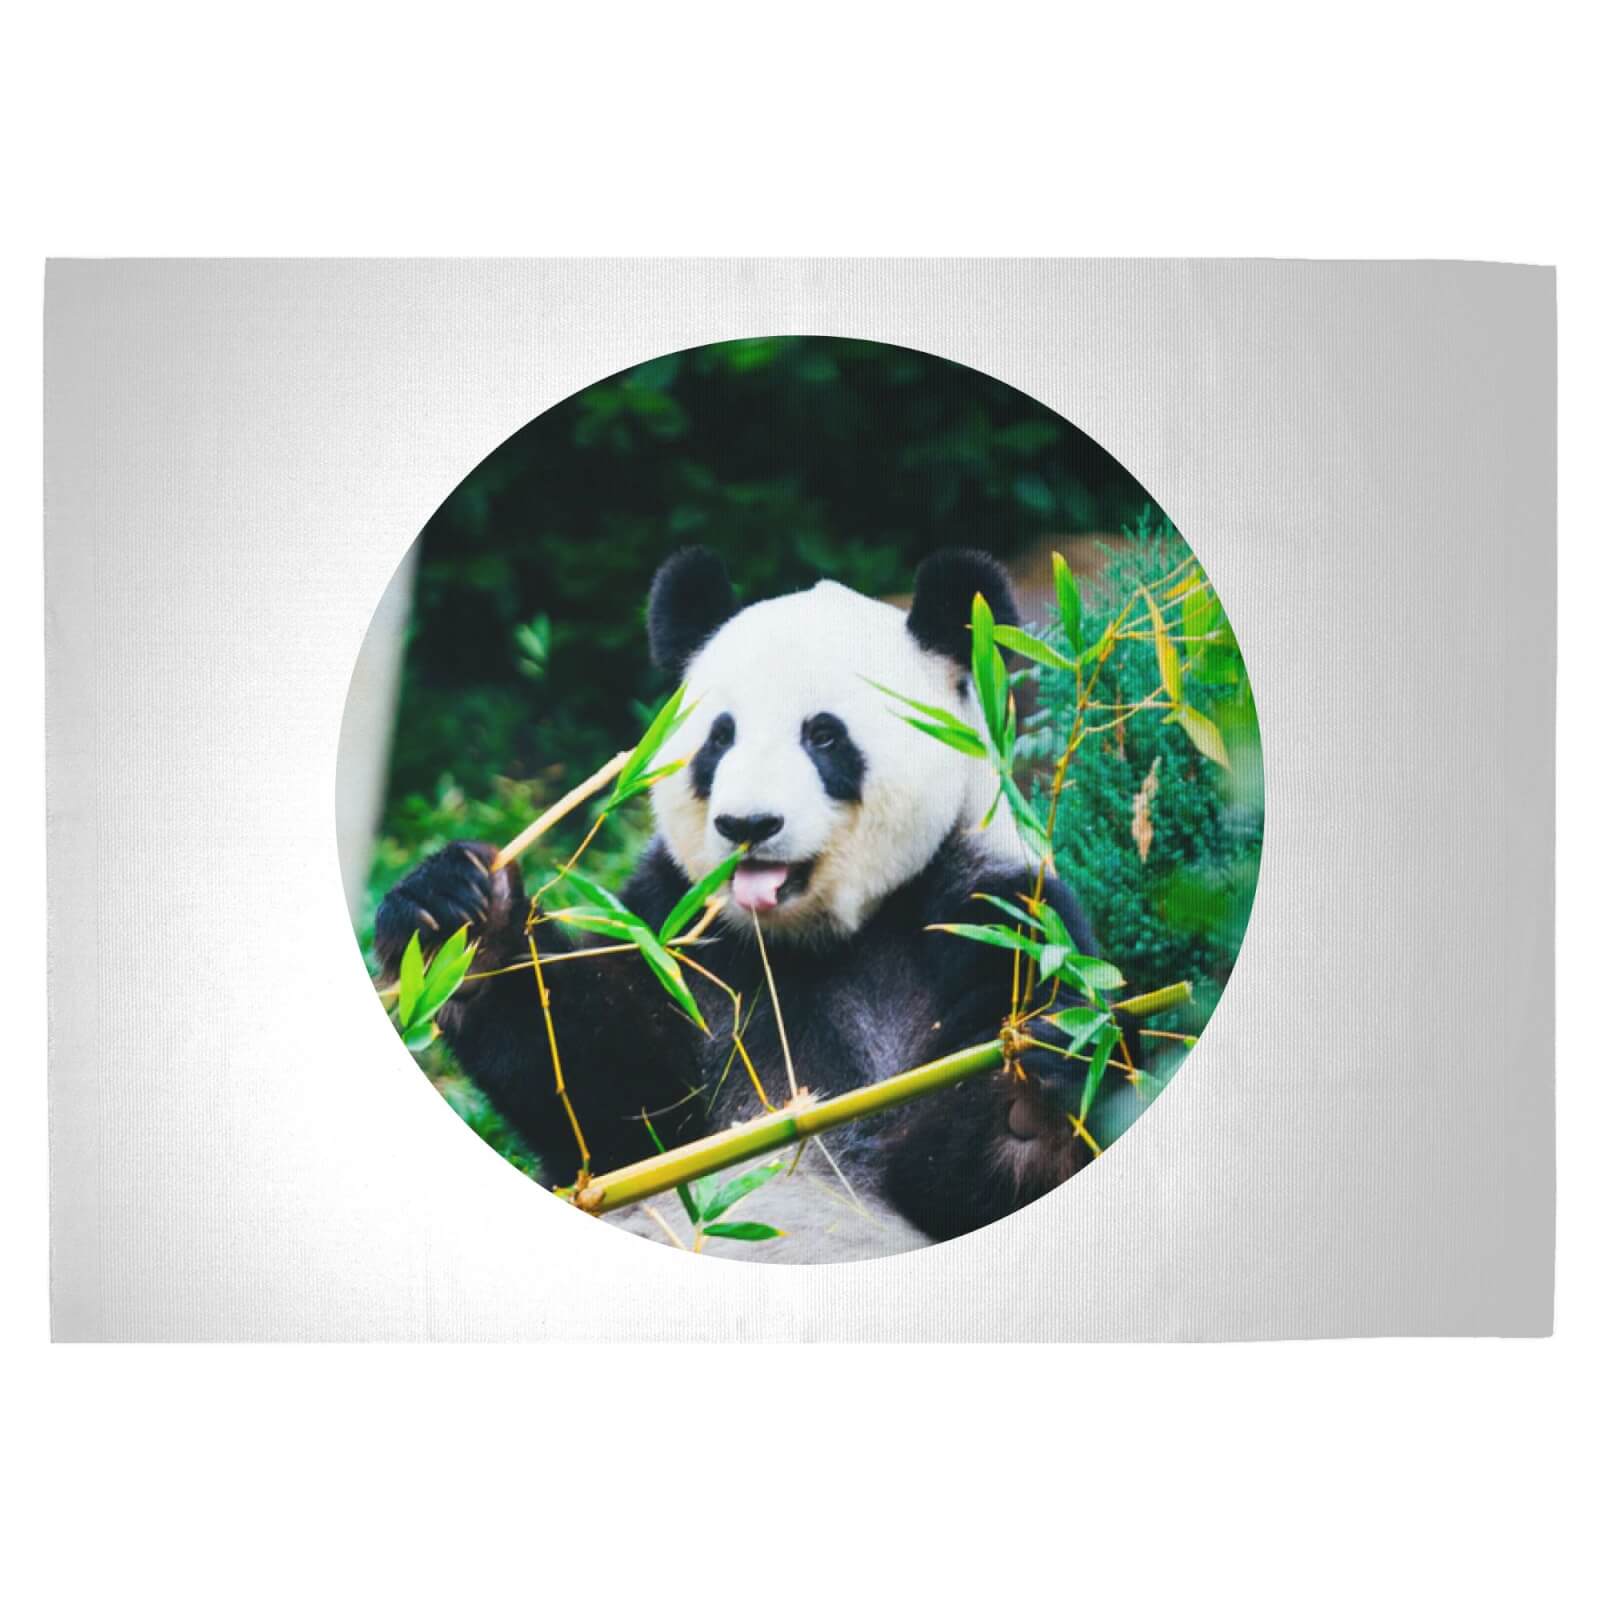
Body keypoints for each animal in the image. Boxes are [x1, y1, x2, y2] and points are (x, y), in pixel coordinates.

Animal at [376, 546, 1131, 1261]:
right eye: (719, 737)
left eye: (823, 735)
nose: (749, 824)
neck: (809, 938)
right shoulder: (677, 925)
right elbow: (613, 1108)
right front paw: (466, 923)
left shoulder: (995, 913)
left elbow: (957, 1177)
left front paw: (1032, 1095)